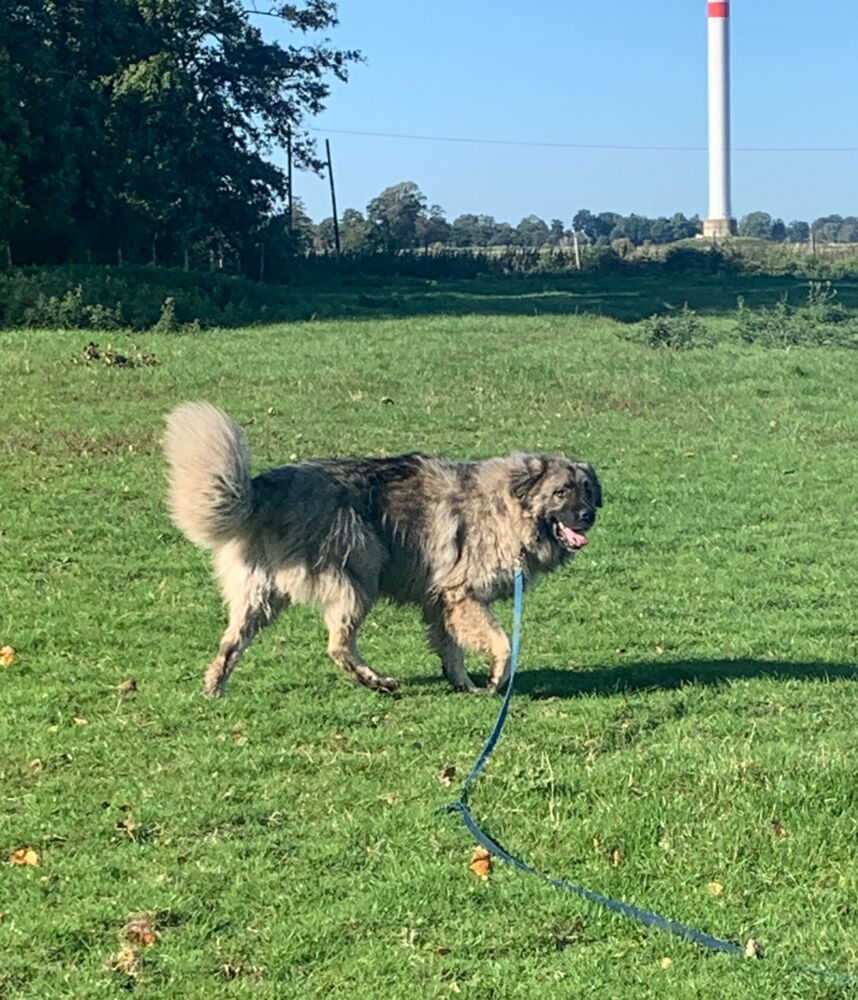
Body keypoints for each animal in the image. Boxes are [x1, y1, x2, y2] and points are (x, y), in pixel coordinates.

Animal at [163, 402, 601, 696]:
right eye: (561, 491)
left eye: (587, 489)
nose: (588, 515)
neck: (506, 506)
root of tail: (262, 490)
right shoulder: (462, 595)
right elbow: (503, 643)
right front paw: (496, 679)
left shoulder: (439, 602)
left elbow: (451, 649)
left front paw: (463, 683)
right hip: (359, 575)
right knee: (338, 646)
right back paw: (378, 682)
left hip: (260, 597)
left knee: (231, 644)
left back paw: (214, 688)